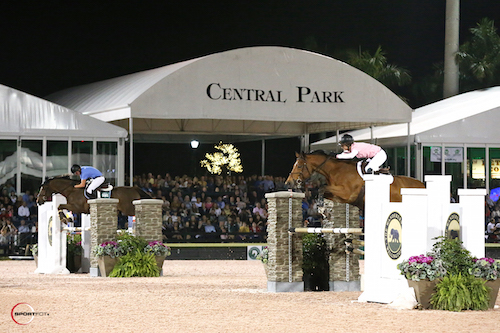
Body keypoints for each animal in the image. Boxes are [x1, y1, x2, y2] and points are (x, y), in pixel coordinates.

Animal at [288, 150, 424, 210]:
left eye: (299, 166)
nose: (288, 182)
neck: (336, 170)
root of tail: (422, 185)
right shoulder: (338, 196)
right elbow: (320, 190)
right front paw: (319, 205)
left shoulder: (347, 193)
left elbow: (322, 187)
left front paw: (320, 205)